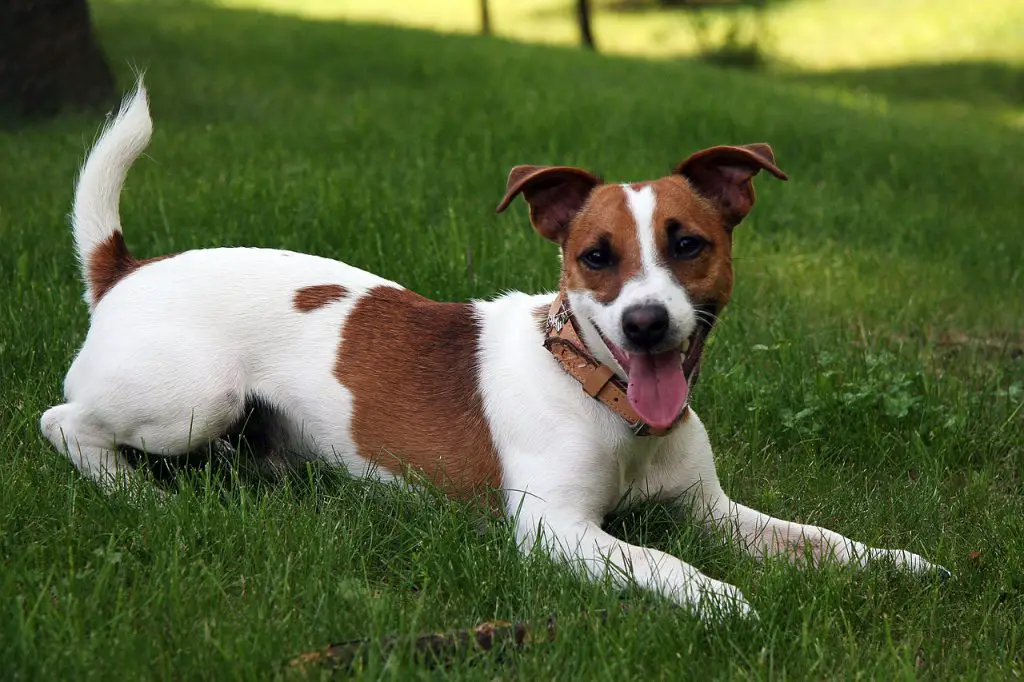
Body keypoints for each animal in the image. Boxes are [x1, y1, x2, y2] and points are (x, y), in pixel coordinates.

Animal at [44, 82, 946, 618]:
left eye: (689, 243)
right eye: (596, 256)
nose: (646, 324)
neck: (602, 395)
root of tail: (126, 270)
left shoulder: (711, 511)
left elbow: (820, 540)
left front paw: (896, 563)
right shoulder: (559, 532)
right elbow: (664, 563)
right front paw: (724, 600)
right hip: (197, 401)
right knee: (63, 422)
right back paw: (138, 494)